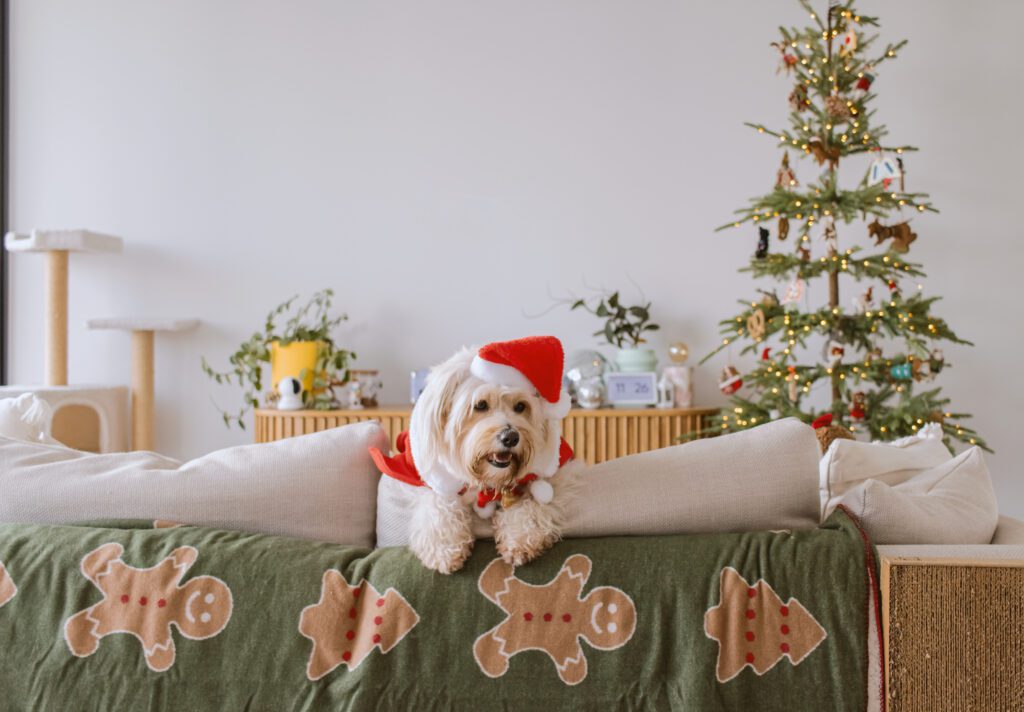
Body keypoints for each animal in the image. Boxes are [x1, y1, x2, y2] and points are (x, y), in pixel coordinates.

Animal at [370, 336, 581, 577]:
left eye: (521, 406)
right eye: (480, 405)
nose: (510, 437)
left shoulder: (561, 470)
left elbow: (534, 503)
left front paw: (519, 538)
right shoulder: (424, 476)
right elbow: (438, 504)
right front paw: (444, 549)